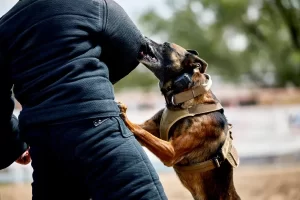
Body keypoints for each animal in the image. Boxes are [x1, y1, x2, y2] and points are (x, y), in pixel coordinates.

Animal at [118, 38, 240, 200]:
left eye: (165, 46)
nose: (143, 37)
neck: (186, 96)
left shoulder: (171, 151)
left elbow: (140, 131)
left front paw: (124, 115)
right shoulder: (153, 128)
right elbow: (141, 129)